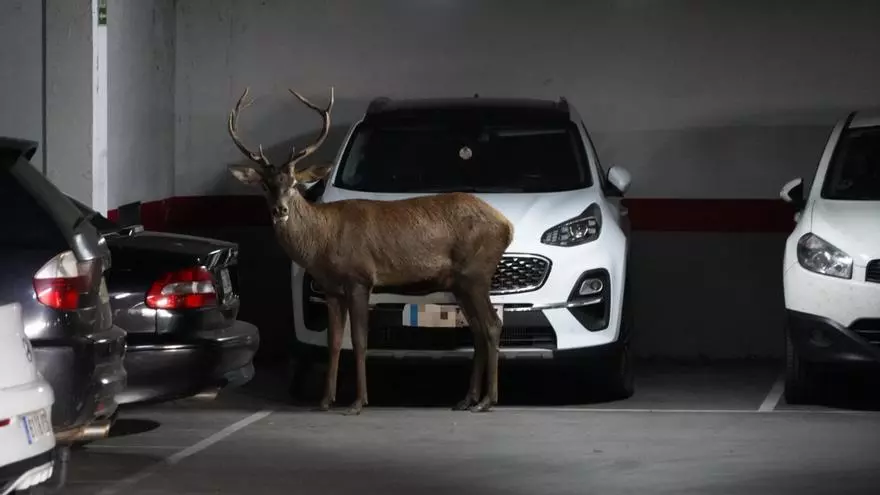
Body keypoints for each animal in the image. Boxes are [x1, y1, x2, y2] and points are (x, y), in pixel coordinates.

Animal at [225, 86, 514, 415]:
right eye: (264, 185)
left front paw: (357, 402)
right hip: (460, 282)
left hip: (476, 272)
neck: (322, 240)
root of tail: (507, 225)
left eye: (295, 183)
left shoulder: (359, 278)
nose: (280, 210)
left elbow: (360, 341)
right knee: (478, 330)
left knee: (492, 325)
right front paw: (325, 401)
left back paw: (488, 401)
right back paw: (467, 400)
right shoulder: (331, 289)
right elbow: (334, 341)